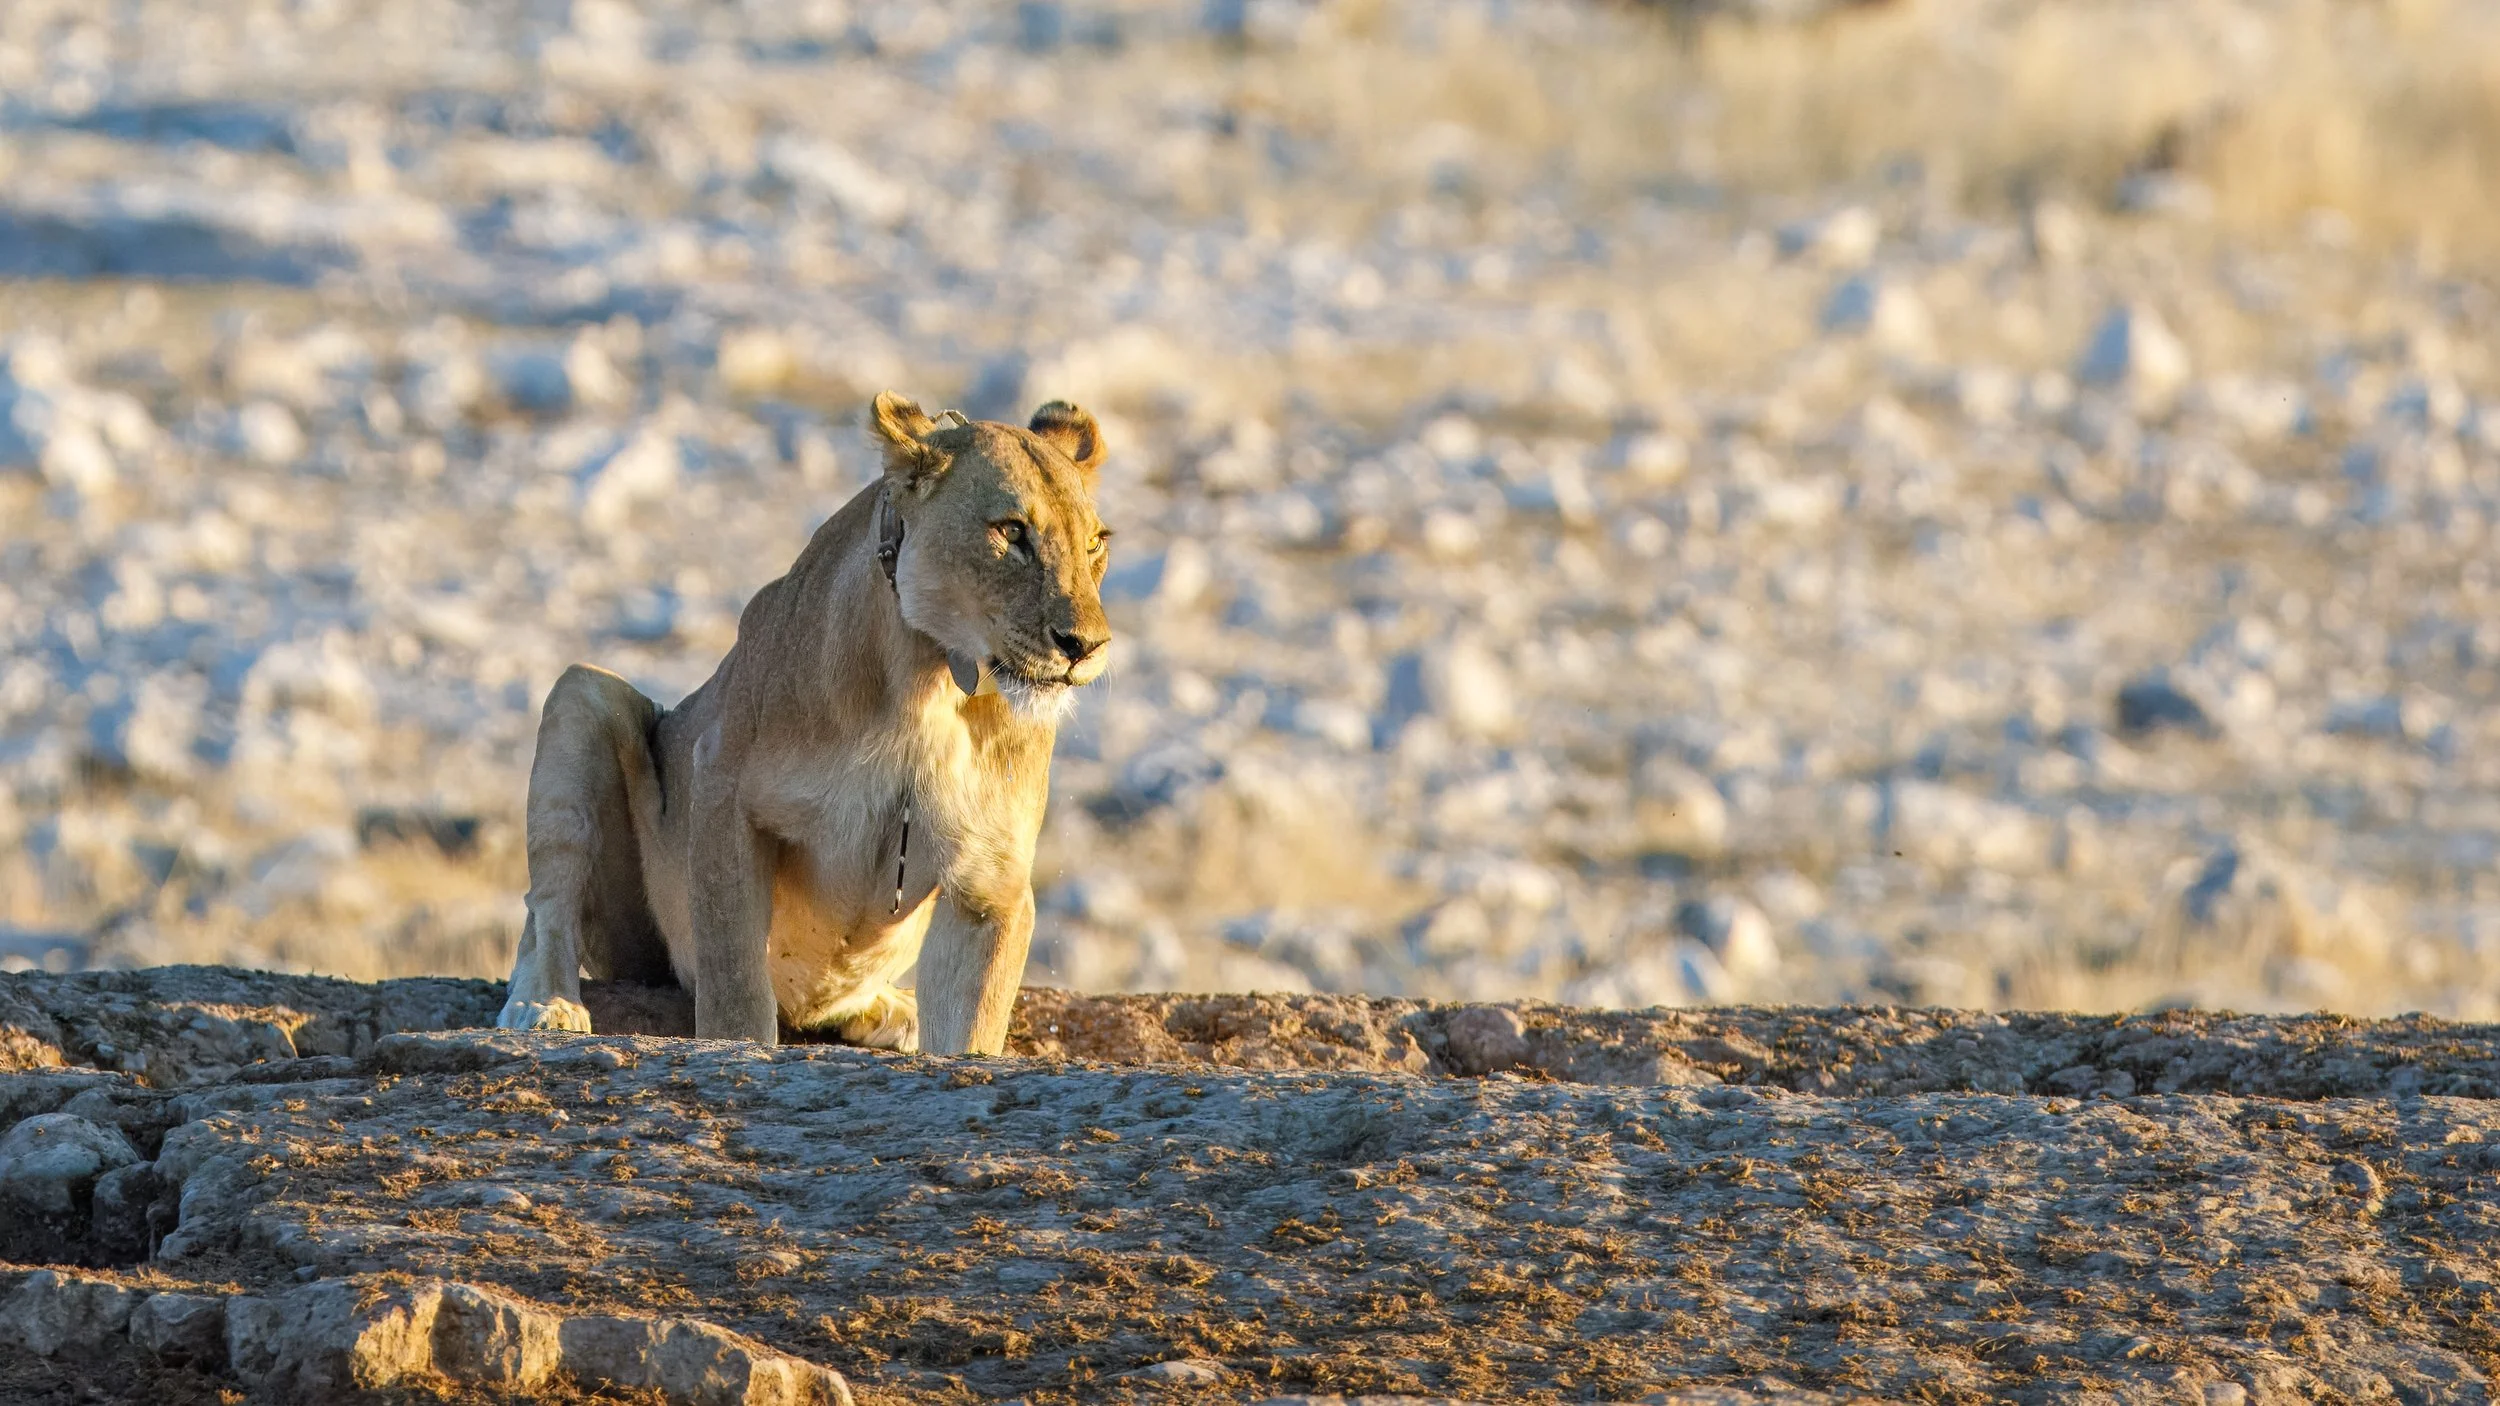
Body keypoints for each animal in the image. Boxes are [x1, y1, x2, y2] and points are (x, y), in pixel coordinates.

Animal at [494, 392, 1115, 1055]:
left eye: (1096, 543)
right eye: (1011, 531)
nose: (1088, 645)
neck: (929, 681)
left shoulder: (990, 884)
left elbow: (970, 1031)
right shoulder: (722, 788)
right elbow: (735, 989)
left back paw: (894, 1012)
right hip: (583, 692)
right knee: (547, 905)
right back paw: (545, 1005)